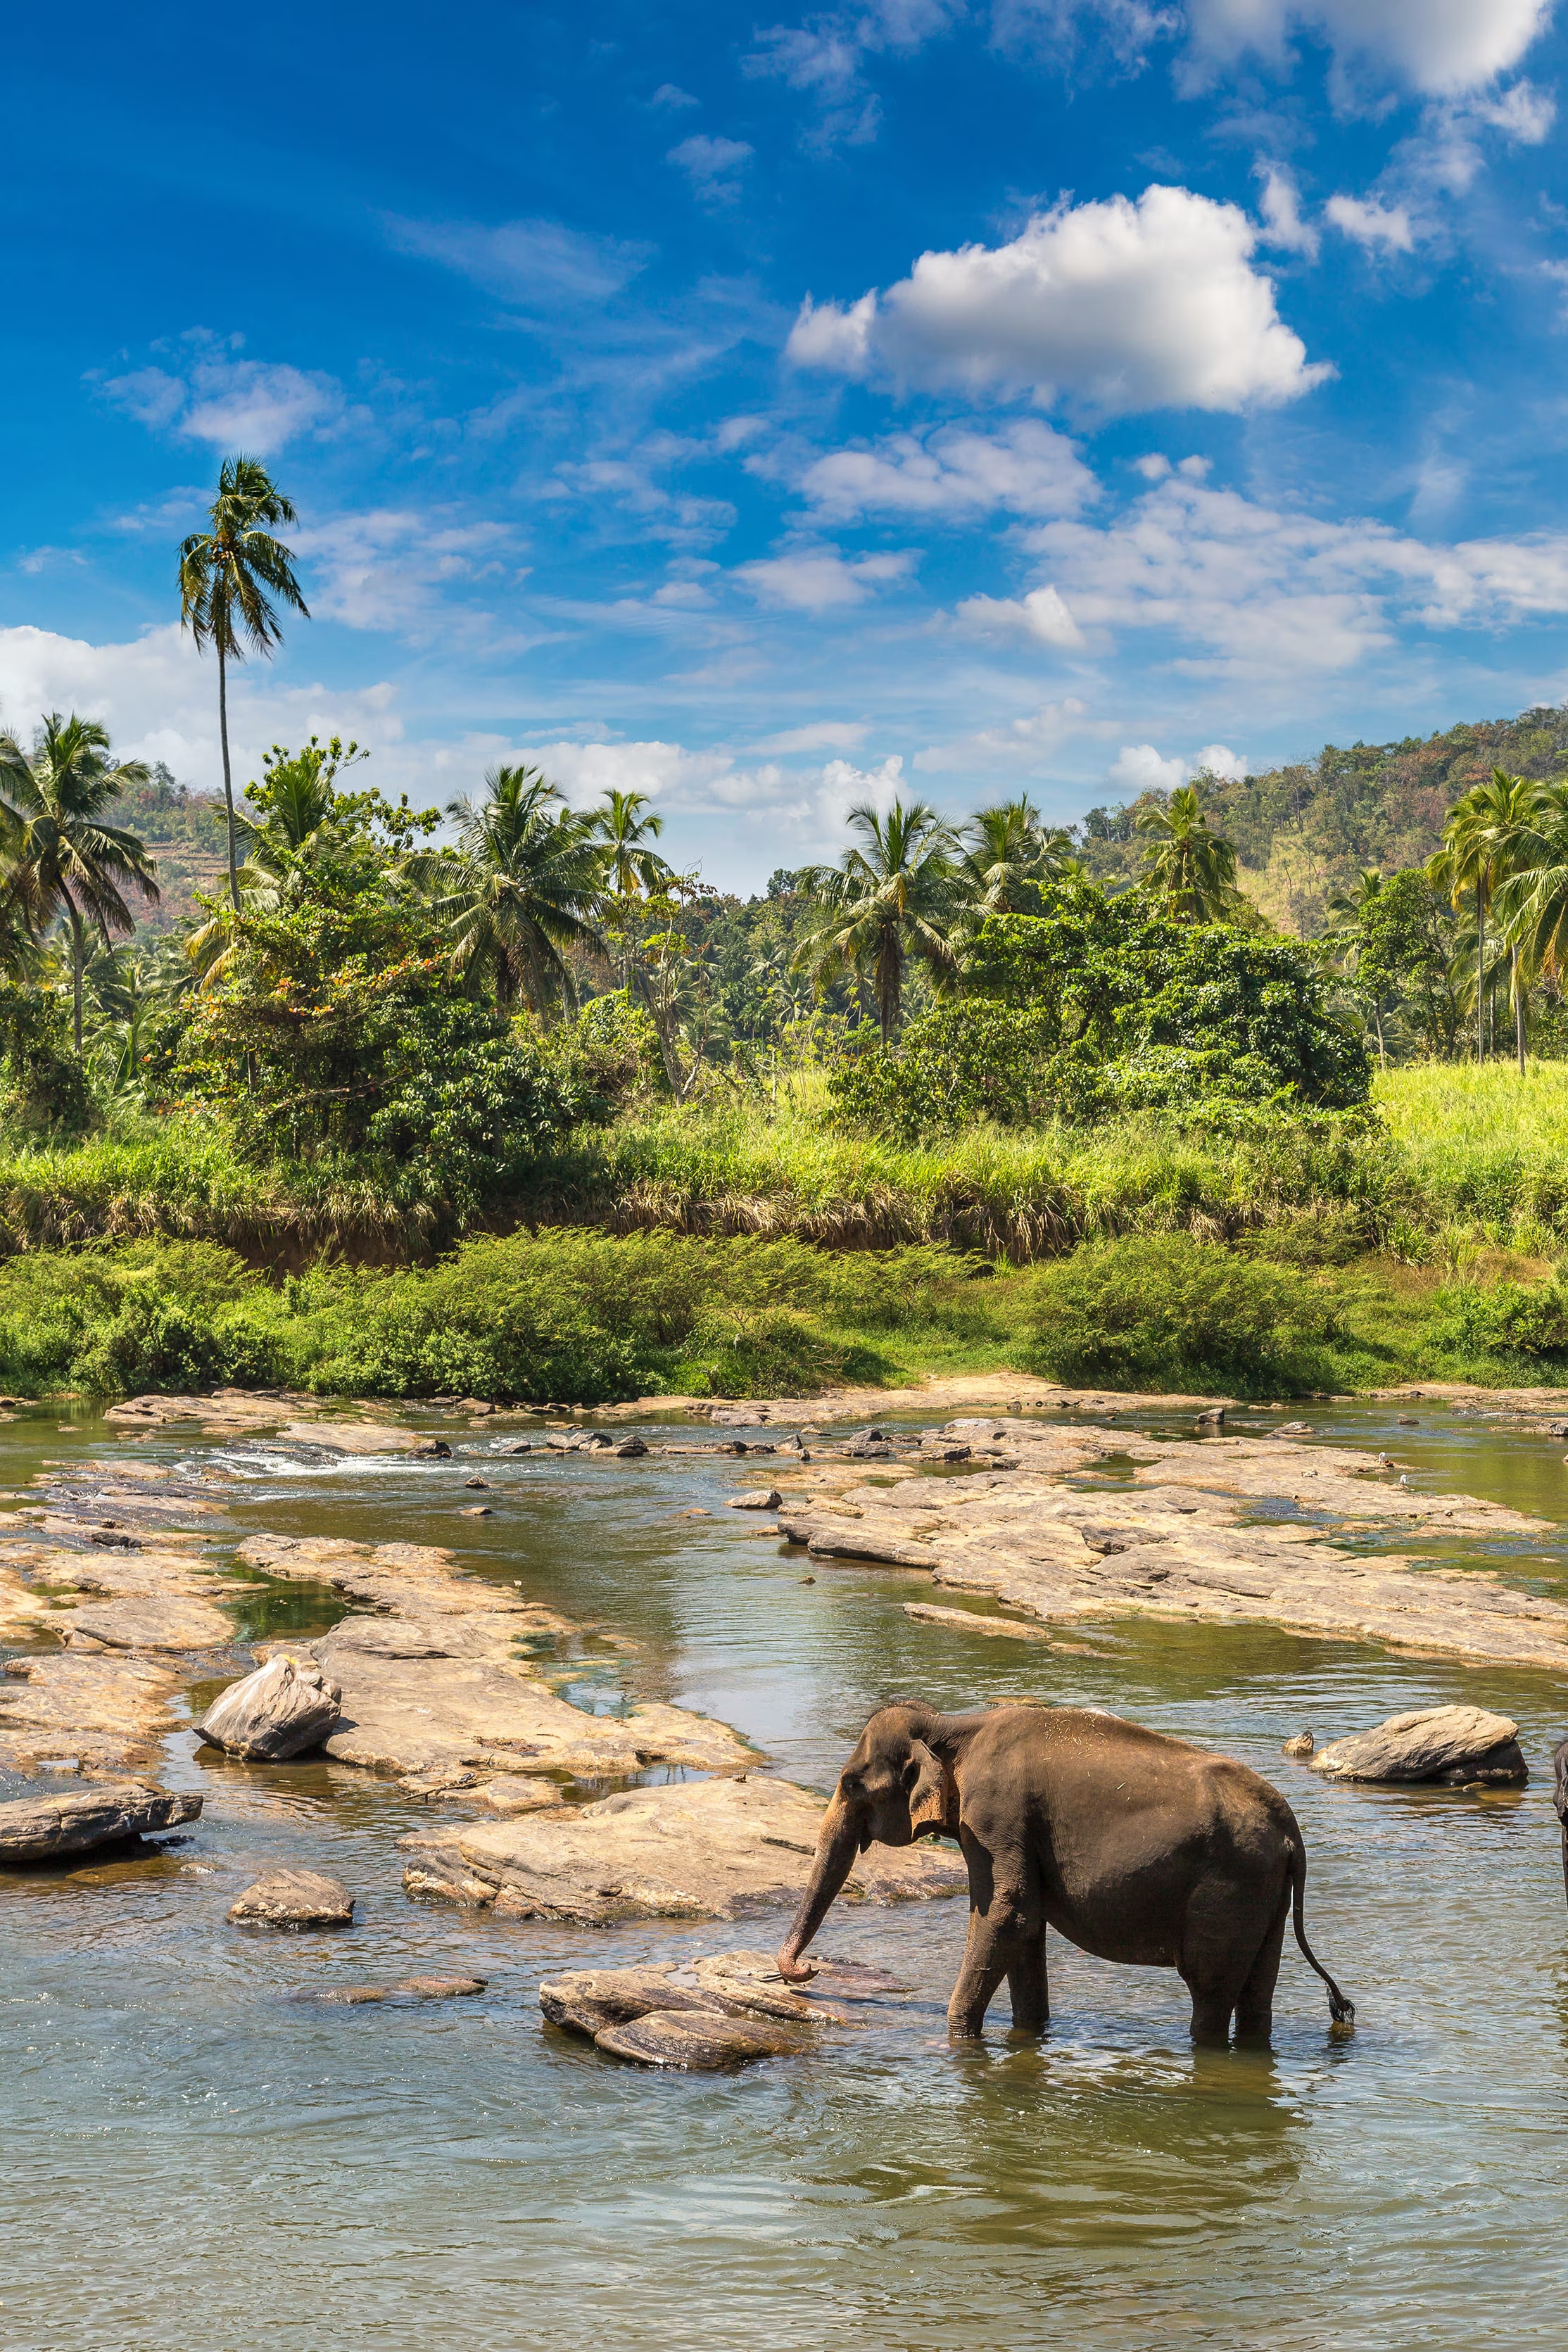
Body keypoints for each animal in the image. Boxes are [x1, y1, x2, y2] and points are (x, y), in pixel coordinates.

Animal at [776, 1701, 1355, 2044]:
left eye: (851, 1784)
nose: (809, 1973)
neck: (954, 1727)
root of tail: (1292, 1834)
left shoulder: (996, 1815)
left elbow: (1006, 1913)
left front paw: (958, 2039)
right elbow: (1025, 1929)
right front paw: (1029, 2036)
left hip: (1227, 1890)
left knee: (1210, 1991)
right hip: (1264, 1895)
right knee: (1257, 1993)